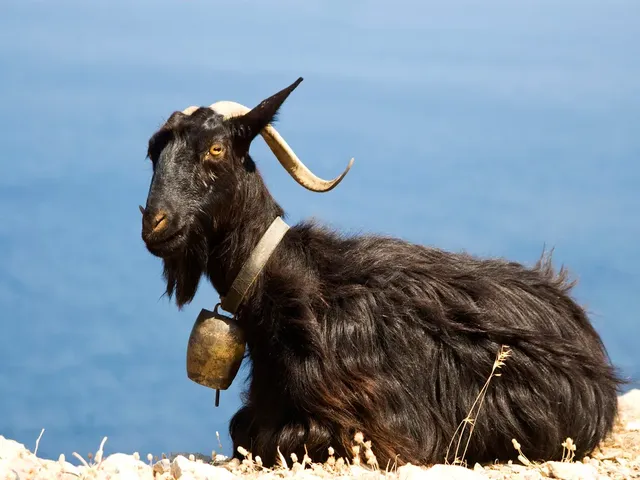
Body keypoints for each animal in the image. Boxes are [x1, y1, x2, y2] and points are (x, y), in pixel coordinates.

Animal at [140, 77, 622, 468]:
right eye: (154, 152)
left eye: (215, 148)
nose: (155, 225)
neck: (279, 276)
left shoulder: (371, 425)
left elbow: (270, 438)